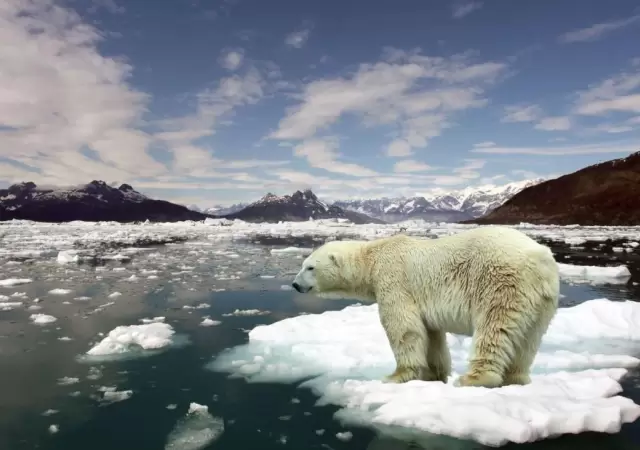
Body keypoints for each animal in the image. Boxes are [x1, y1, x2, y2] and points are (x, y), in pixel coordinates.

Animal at [291, 226, 560, 388]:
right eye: (303, 265)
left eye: (310, 267)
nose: (294, 284)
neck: (373, 258)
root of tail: (540, 258)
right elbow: (431, 335)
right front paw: (434, 375)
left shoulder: (394, 280)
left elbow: (403, 328)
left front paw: (396, 376)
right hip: (542, 301)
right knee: (528, 339)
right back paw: (516, 378)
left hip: (501, 282)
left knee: (494, 328)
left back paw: (473, 378)